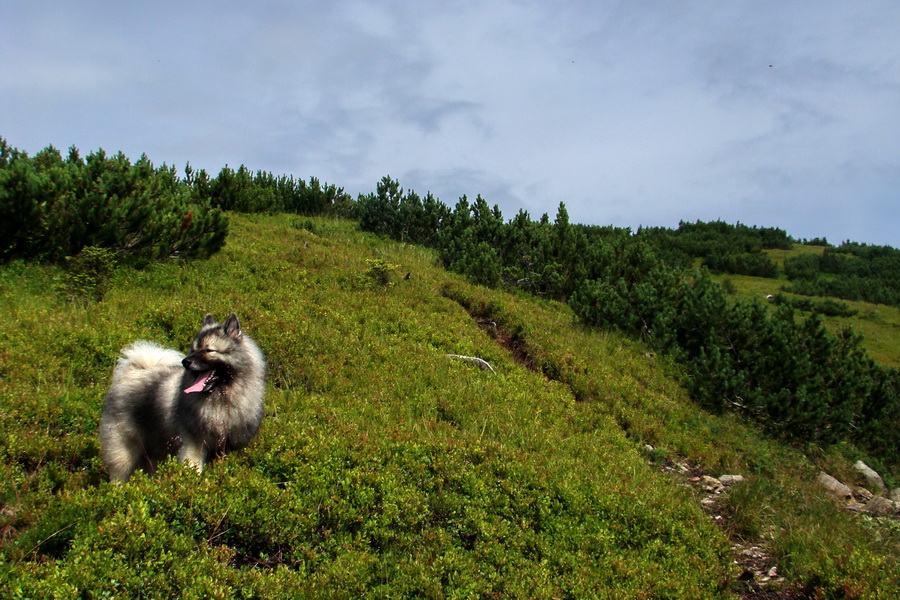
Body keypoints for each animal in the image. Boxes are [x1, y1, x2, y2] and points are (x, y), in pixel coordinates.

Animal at [101, 312, 268, 480]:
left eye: (209, 350)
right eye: (193, 350)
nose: (185, 362)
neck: (220, 397)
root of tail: (130, 375)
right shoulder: (194, 443)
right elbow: (193, 466)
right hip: (124, 449)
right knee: (119, 473)